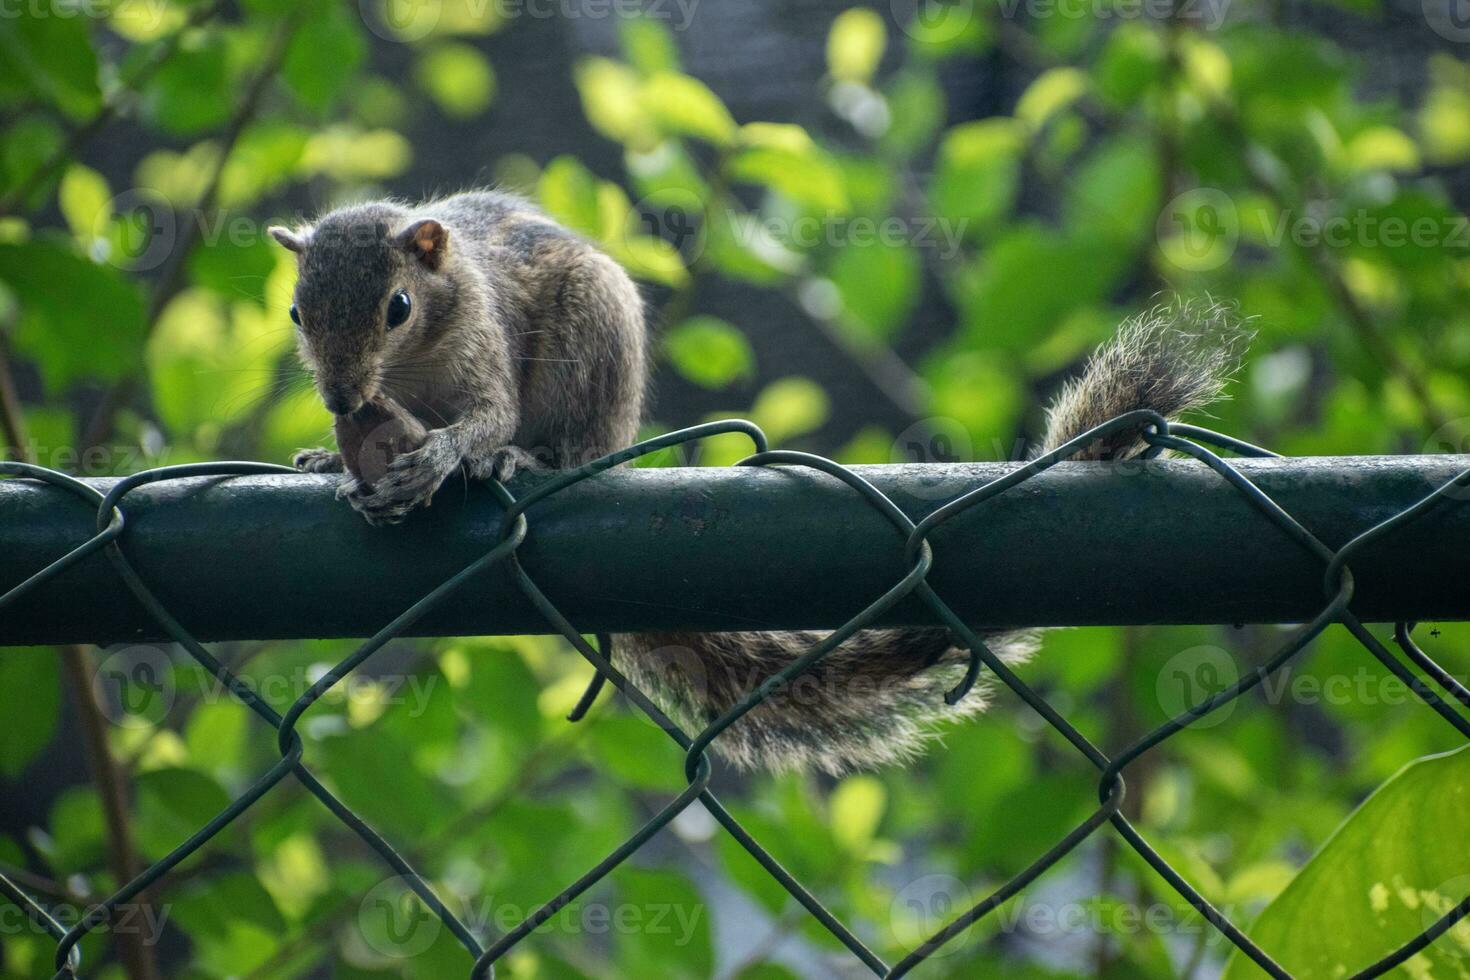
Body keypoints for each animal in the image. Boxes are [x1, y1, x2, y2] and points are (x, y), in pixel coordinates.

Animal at [270, 189, 1246, 775]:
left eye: (398, 307)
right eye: (294, 312)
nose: (343, 397)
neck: (412, 376)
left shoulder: (483, 353)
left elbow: (484, 420)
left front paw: (445, 457)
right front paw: (327, 456)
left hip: (595, 344)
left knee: (573, 448)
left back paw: (536, 462)